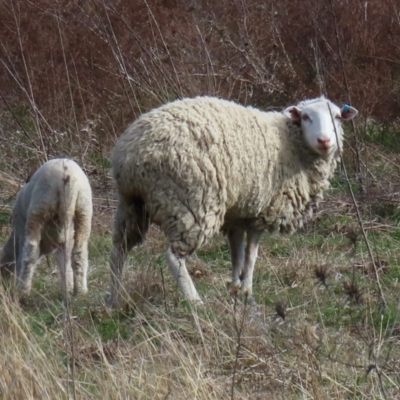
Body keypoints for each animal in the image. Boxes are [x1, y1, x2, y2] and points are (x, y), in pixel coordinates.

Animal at [0, 158, 93, 296]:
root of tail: (67, 176)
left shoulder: (21, 229)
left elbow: (22, 257)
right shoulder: (64, 240)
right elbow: (64, 262)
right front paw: (68, 287)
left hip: (39, 208)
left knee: (31, 251)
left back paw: (23, 289)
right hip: (84, 211)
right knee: (79, 253)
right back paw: (80, 291)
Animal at [105, 95, 356, 304]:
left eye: (336, 117)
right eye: (305, 117)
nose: (324, 140)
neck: (292, 142)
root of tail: (132, 154)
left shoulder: (238, 212)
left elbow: (237, 253)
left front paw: (234, 288)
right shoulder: (262, 212)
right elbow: (251, 255)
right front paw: (247, 291)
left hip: (131, 204)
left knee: (119, 250)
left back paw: (114, 298)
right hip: (191, 204)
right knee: (173, 257)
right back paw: (195, 302)